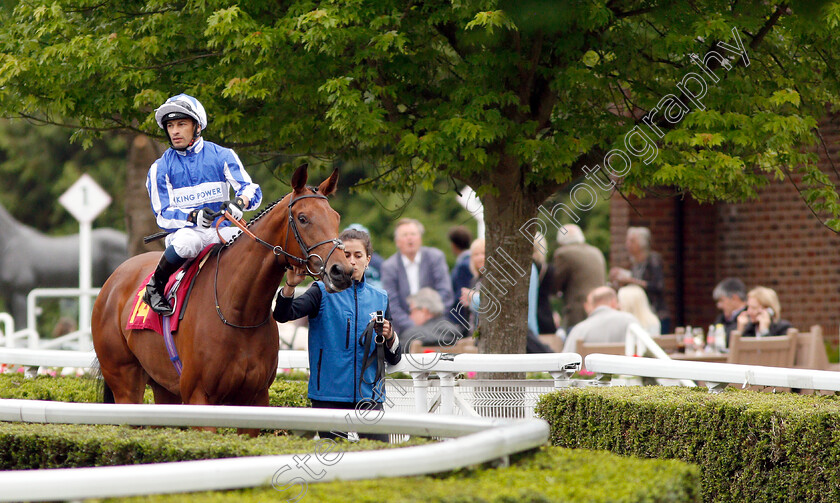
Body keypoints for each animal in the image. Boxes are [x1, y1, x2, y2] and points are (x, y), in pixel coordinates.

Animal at [91, 165, 352, 426]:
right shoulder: (199, 397)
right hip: (125, 383)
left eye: (336, 217)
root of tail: (113, 280)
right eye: (303, 218)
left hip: (163, 387)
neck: (239, 312)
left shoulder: (256, 397)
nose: (341, 271)